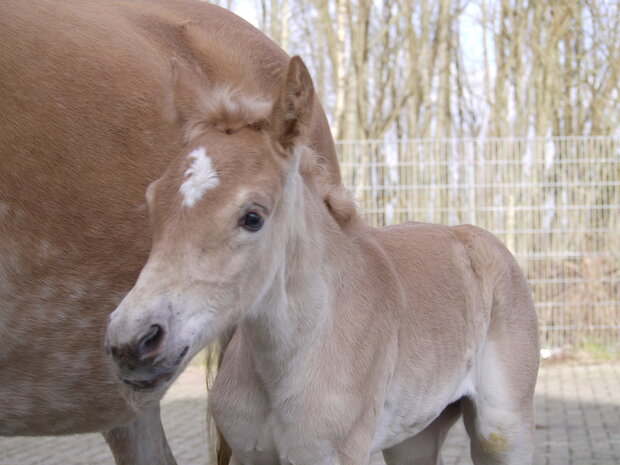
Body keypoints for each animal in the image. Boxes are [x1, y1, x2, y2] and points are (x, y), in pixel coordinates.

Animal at [108, 51, 544, 464]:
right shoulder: (251, 454)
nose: (132, 341)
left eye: (253, 217)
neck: (288, 358)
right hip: (415, 436)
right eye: (152, 201)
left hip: (503, 431)